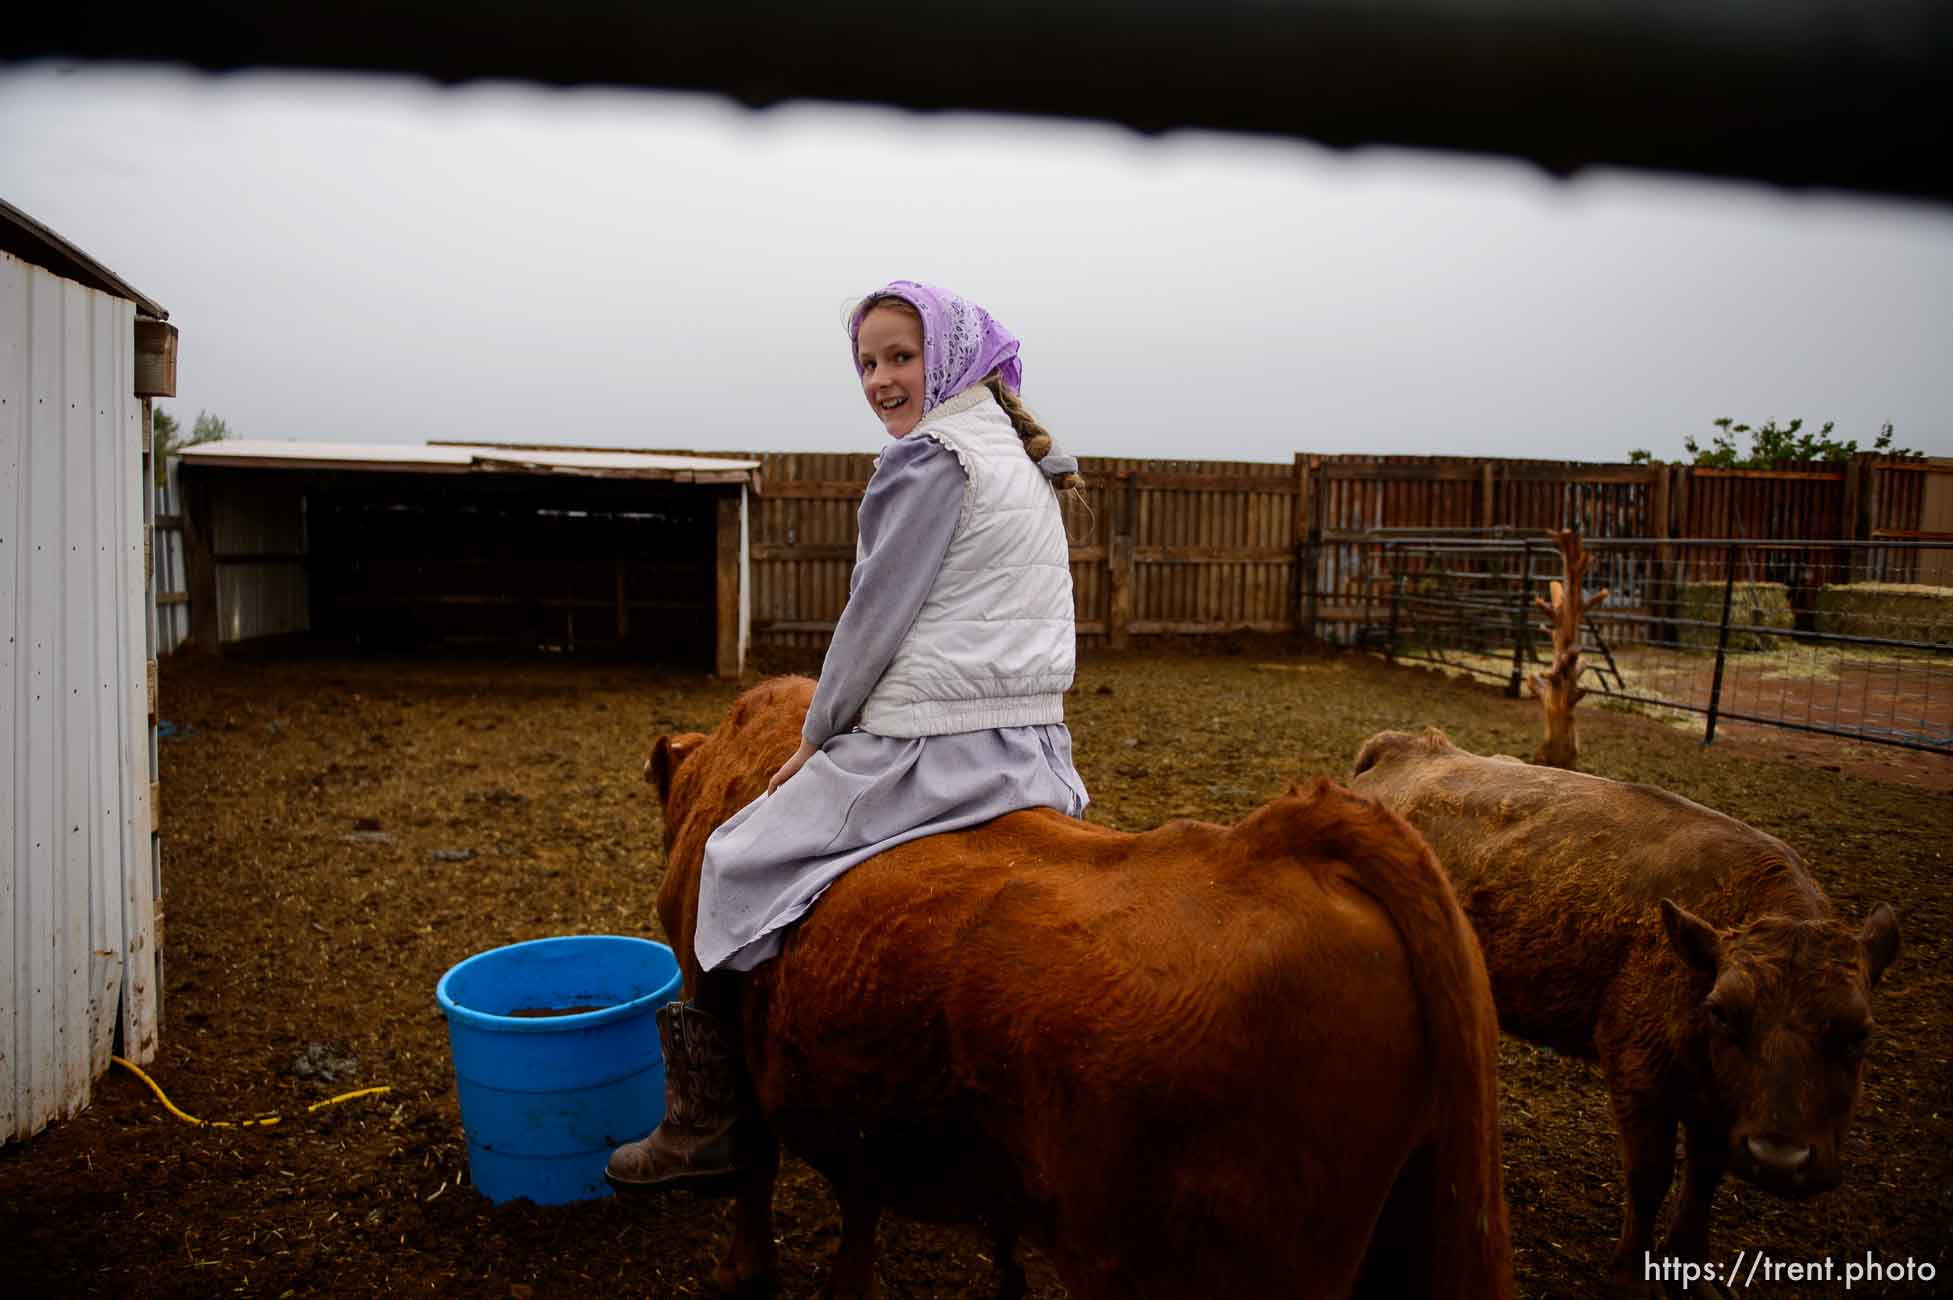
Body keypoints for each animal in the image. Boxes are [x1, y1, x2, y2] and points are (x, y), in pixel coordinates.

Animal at [1351, 730, 1898, 1296]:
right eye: (1724, 1012)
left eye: (1860, 1032)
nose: (1779, 1160)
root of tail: (1403, 749)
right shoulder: (1641, 1076)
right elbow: (1650, 1176)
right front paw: (1632, 1276)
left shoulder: (1715, 1105)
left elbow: (1703, 1177)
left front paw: (1692, 1269)